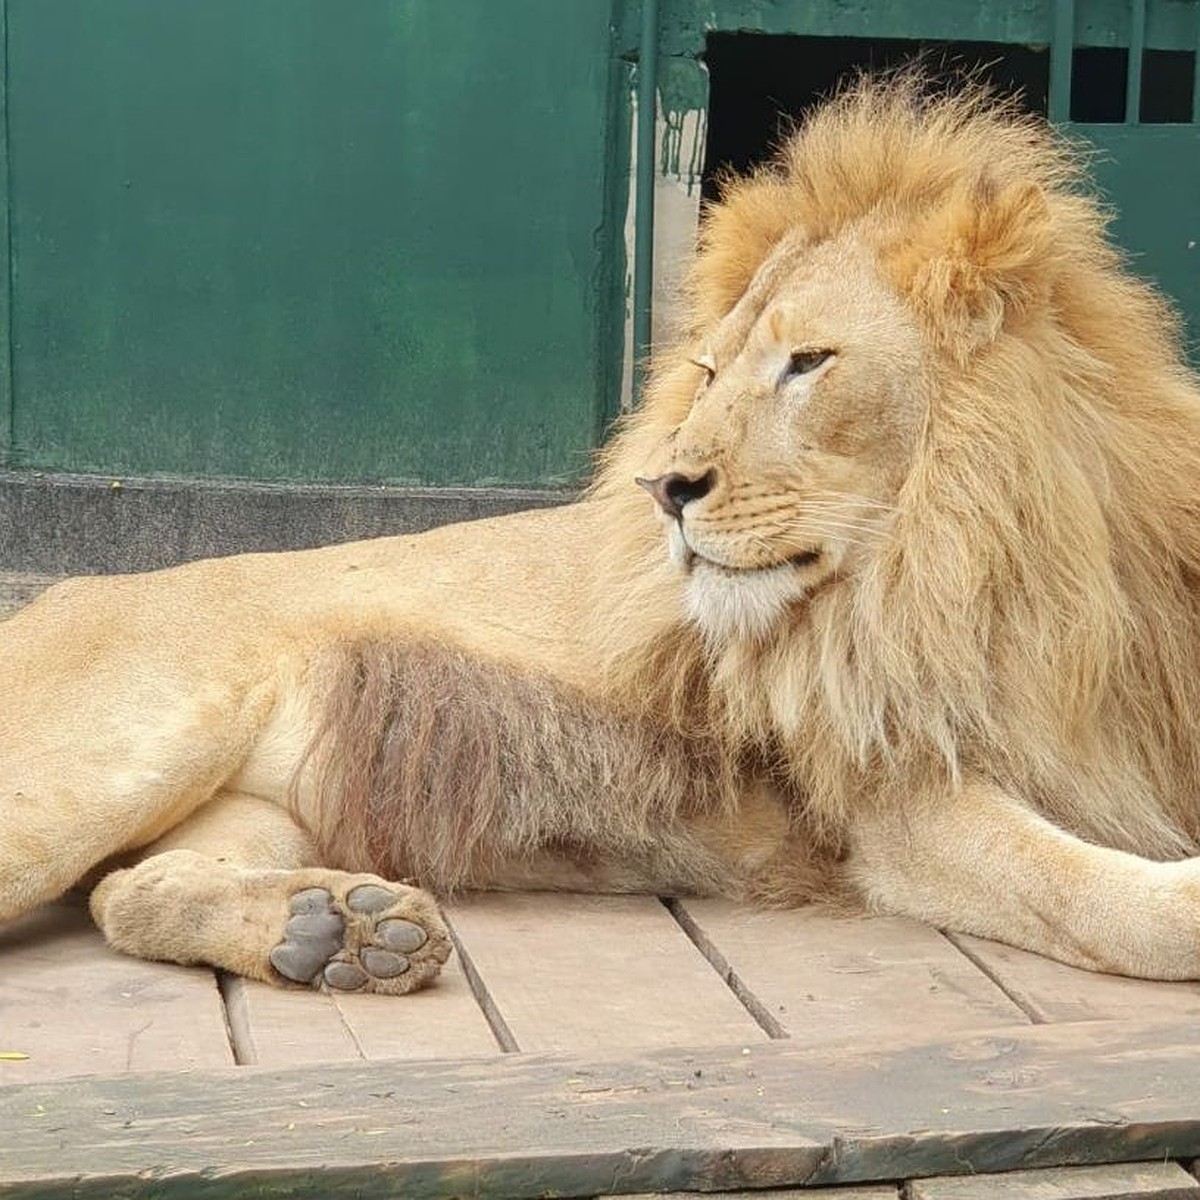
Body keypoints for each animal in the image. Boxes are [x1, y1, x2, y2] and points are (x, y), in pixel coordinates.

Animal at [2, 72, 1200, 993]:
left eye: (808, 363)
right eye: (709, 371)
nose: (663, 487)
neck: (992, 558)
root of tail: (58, 592)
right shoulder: (898, 802)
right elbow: (1103, 900)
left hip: (257, 809)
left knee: (134, 887)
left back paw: (337, 936)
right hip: (105, 761)